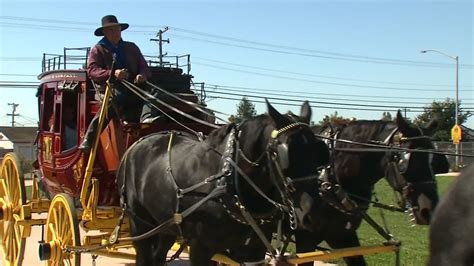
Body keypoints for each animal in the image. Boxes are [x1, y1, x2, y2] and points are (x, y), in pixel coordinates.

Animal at [115, 101, 330, 264]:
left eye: (319, 152)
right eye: (283, 154)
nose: (312, 215)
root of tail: (138, 144)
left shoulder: (254, 250)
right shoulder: (201, 248)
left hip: (165, 224)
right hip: (139, 222)